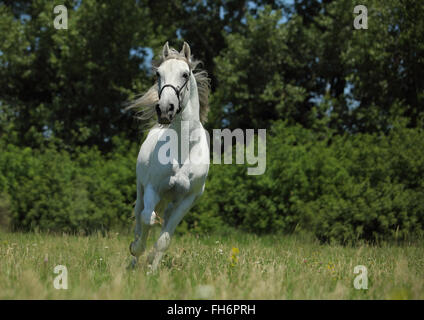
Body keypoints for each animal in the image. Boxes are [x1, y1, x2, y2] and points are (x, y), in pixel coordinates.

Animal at [126, 40, 211, 270]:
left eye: (185, 74)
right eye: (158, 74)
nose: (165, 109)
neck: (183, 149)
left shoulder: (187, 199)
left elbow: (164, 239)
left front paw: (152, 270)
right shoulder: (153, 189)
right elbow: (147, 218)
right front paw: (137, 250)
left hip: (171, 202)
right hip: (141, 191)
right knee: (139, 218)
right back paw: (134, 260)